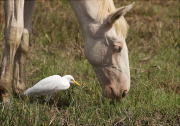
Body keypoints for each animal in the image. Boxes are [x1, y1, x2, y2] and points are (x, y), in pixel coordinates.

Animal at [0, 0, 134, 103]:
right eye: (117, 47)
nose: (124, 91)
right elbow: (14, 31)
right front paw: (6, 96)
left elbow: (25, 35)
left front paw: (20, 91)